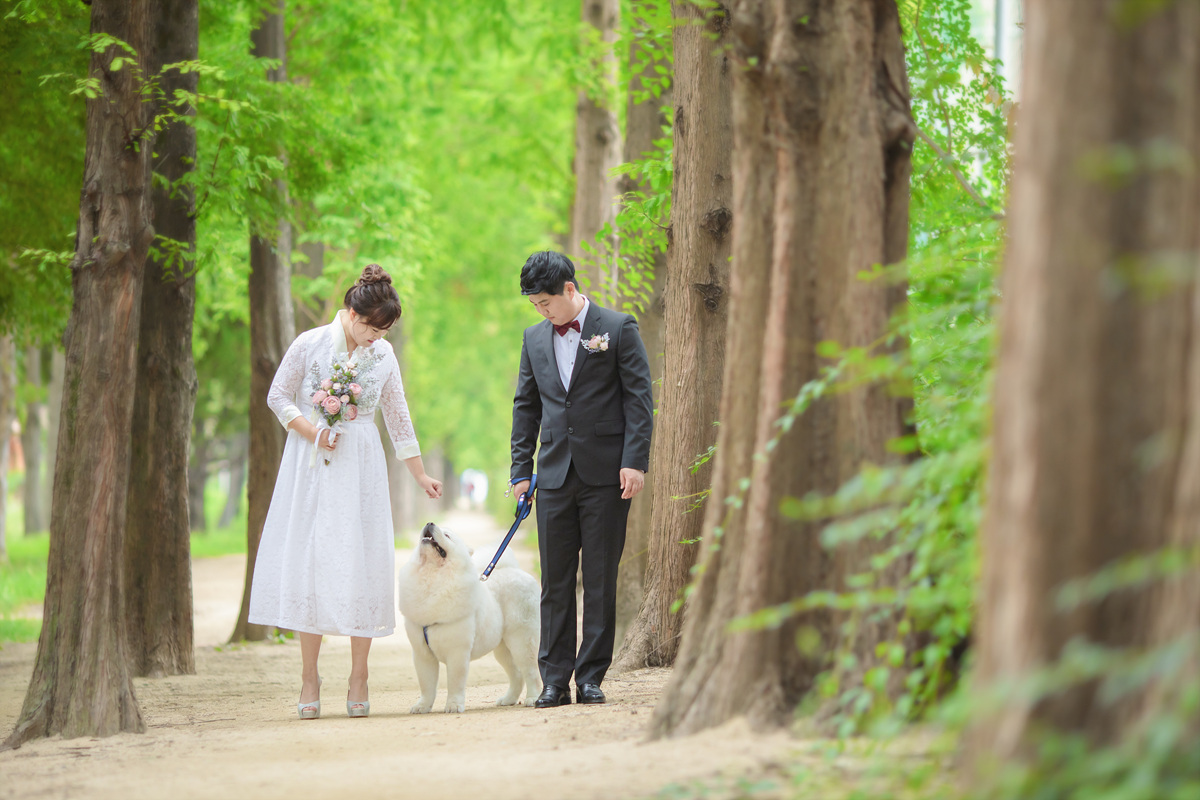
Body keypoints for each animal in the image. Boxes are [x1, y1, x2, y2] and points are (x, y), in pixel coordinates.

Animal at [397, 522, 542, 713]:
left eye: (447, 535)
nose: (429, 523)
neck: (432, 573)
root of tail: (517, 571)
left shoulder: (457, 652)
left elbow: (455, 683)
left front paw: (453, 706)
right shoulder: (422, 654)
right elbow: (427, 685)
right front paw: (422, 707)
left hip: (522, 641)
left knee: (531, 671)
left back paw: (533, 698)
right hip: (503, 649)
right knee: (516, 674)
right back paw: (508, 699)